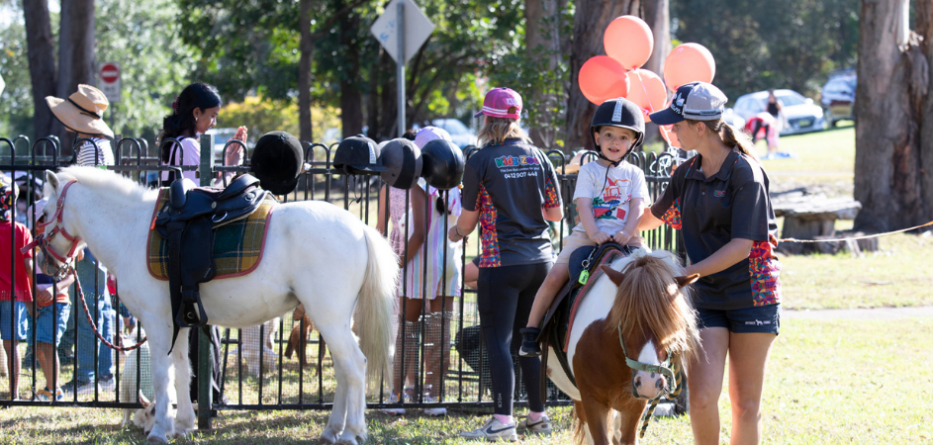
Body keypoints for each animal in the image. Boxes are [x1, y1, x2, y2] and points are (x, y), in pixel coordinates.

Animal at [40, 167, 398, 444]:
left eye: (42, 214)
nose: (46, 265)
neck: (133, 231)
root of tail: (359, 228)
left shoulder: (156, 323)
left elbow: (162, 375)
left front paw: (159, 430)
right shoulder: (177, 322)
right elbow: (182, 371)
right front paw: (182, 425)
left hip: (329, 318)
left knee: (355, 366)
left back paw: (351, 431)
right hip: (332, 321)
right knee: (343, 370)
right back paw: (333, 429)